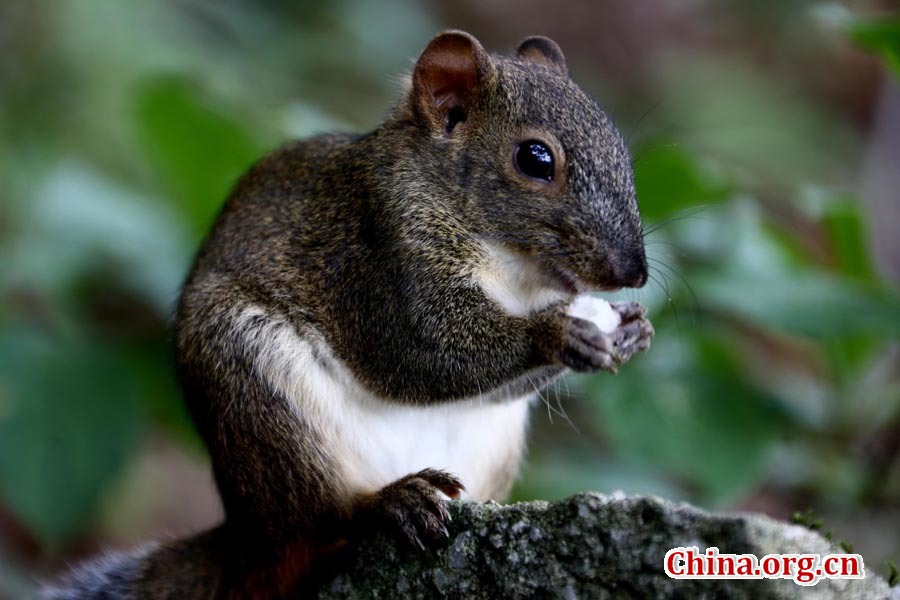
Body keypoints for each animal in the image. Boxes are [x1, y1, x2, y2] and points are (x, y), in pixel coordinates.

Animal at [42, 31, 653, 599]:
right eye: (535, 159)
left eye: (622, 150)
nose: (634, 271)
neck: (515, 273)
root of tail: (246, 538)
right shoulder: (376, 258)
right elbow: (424, 352)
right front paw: (557, 332)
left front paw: (631, 329)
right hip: (257, 389)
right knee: (318, 521)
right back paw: (386, 503)